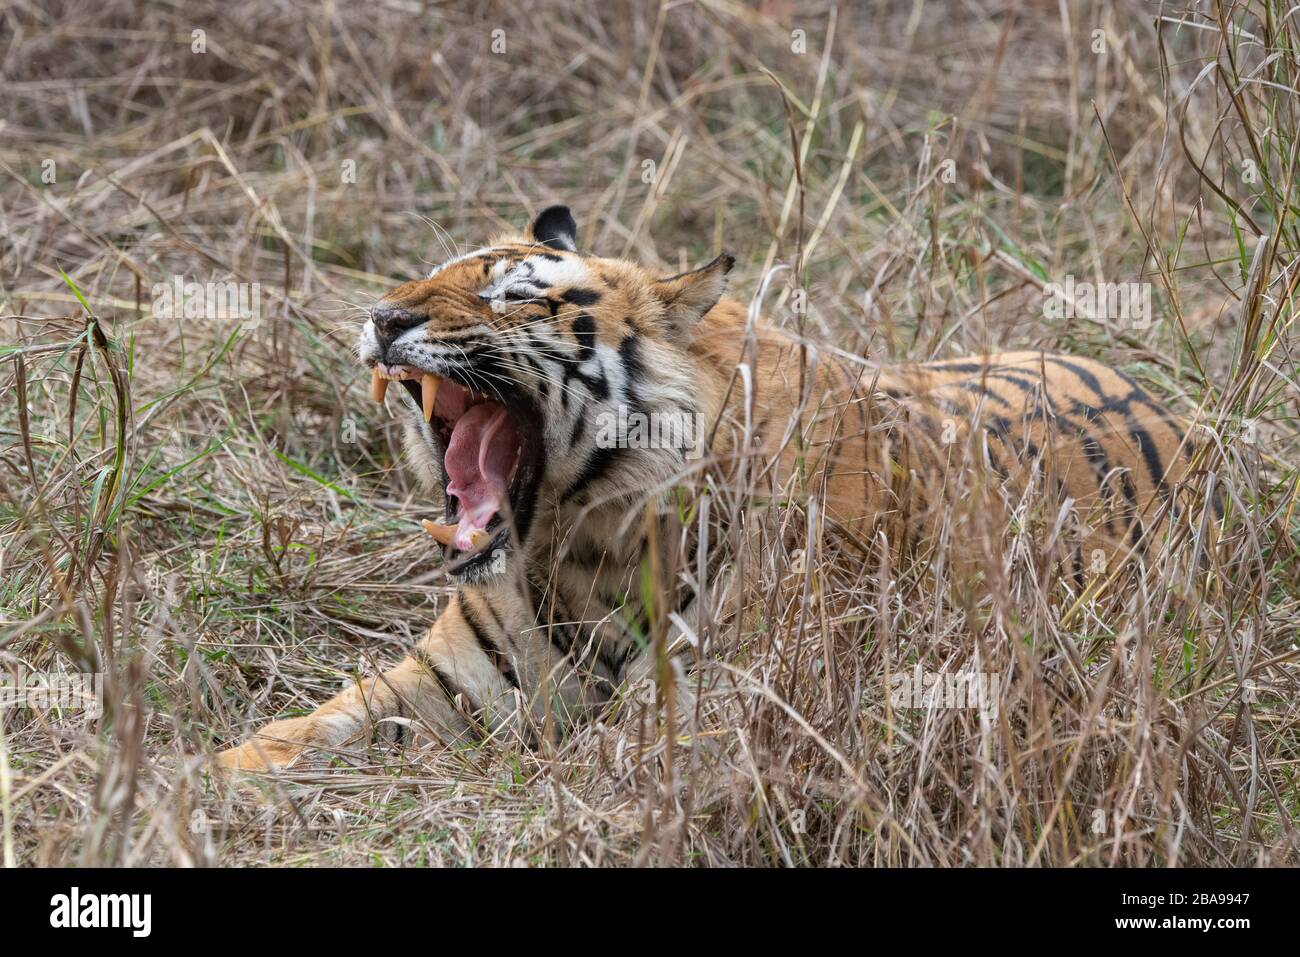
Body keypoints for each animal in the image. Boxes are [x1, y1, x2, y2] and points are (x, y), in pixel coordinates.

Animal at [215, 204, 1196, 769]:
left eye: (515, 295)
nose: (383, 318)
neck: (585, 544)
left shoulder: (726, 697)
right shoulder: (444, 678)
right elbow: (294, 734)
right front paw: (196, 787)